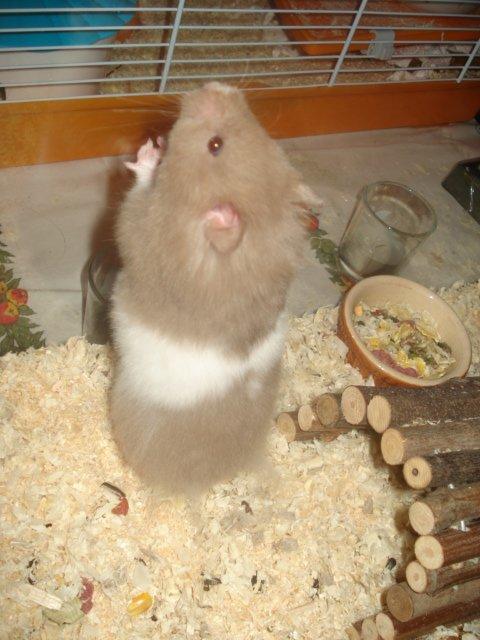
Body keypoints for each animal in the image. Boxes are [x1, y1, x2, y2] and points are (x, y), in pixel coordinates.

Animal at [110, 82, 319, 496]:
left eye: (215, 145)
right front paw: (155, 146)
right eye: (263, 130)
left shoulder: (145, 231)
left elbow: (134, 205)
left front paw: (149, 155)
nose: (218, 86)